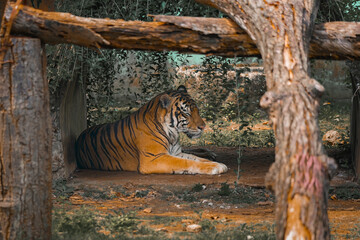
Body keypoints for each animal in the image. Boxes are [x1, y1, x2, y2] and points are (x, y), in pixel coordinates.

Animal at [75, 86, 228, 174]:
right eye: (186, 112)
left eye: (197, 110)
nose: (203, 126)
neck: (173, 134)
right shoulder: (153, 158)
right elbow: (187, 162)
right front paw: (216, 167)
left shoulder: (176, 152)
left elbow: (197, 159)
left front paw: (216, 163)